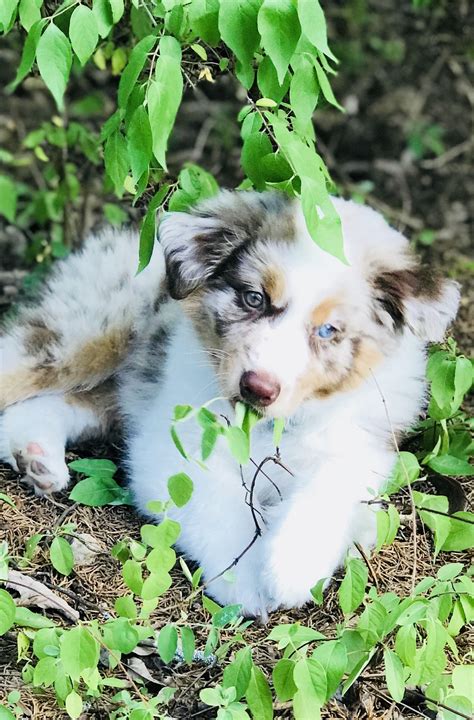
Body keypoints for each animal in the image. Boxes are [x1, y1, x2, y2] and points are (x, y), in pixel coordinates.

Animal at [0, 193, 460, 620]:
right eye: (254, 298)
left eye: (328, 330)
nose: (258, 387)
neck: (263, 425)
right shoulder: (171, 445)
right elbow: (215, 506)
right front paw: (249, 580)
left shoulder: (362, 440)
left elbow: (333, 482)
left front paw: (294, 565)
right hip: (90, 332)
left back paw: (36, 456)